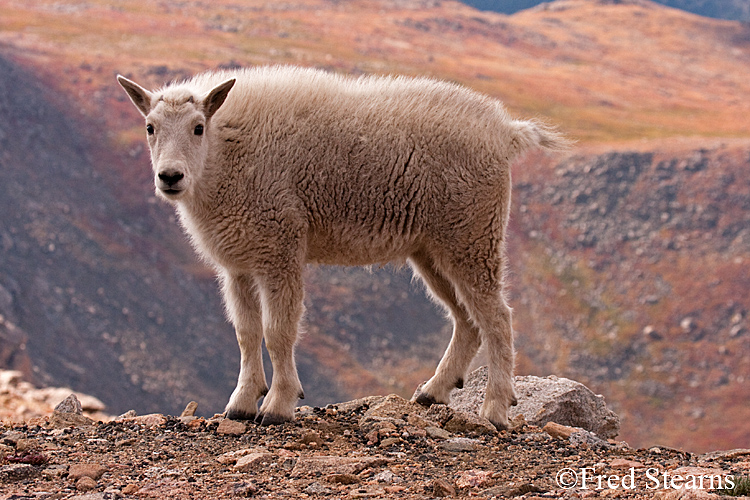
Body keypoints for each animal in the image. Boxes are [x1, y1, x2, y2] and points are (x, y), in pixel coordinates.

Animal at [117, 64, 568, 428]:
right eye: (150, 127)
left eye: (198, 127)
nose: (170, 177)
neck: (224, 155)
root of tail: (506, 131)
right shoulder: (239, 264)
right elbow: (246, 333)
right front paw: (241, 404)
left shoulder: (281, 250)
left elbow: (278, 331)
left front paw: (278, 406)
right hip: (433, 250)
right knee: (467, 321)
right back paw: (432, 392)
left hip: (472, 237)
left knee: (498, 319)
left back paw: (494, 409)